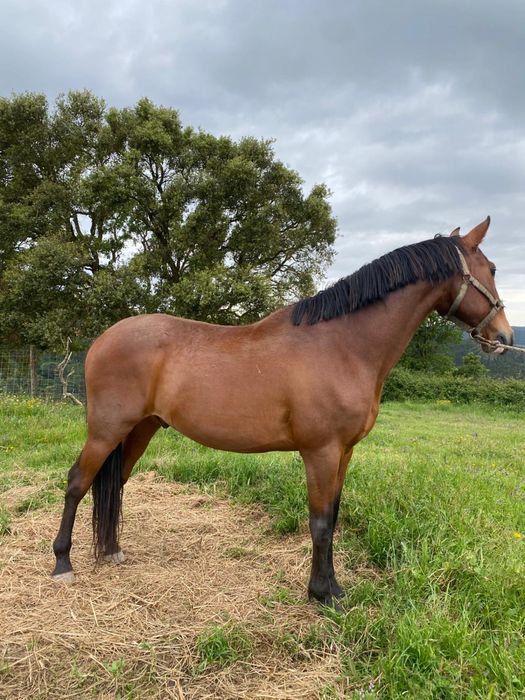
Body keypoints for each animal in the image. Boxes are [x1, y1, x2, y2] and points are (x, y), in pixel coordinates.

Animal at [51, 216, 513, 606]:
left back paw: (112, 551)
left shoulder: (344, 452)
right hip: (106, 429)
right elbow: (321, 522)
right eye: (491, 268)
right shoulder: (321, 452)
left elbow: (334, 516)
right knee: (78, 482)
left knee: (114, 482)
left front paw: (333, 588)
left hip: (141, 428)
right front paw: (322, 595)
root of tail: (101, 341)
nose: (504, 337)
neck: (343, 346)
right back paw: (62, 564)